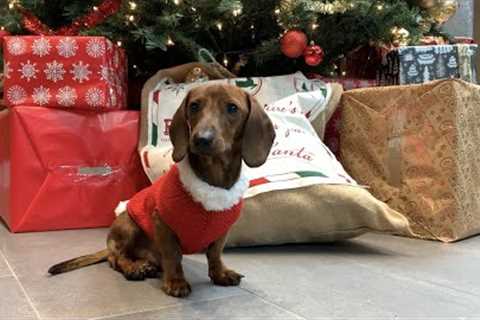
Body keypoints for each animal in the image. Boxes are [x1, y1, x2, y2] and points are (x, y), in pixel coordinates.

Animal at [48, 84, 276, 298]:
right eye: (194, 106)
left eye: (232, 108)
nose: (201, 139)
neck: (212, 181)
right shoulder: (162, 223)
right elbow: (173, 256)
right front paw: (176, 282)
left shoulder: (222, 230)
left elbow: (215, 253)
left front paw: (219, 273)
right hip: (128, 223)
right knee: (117, 257)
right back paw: (133, 267)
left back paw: (146, 264)